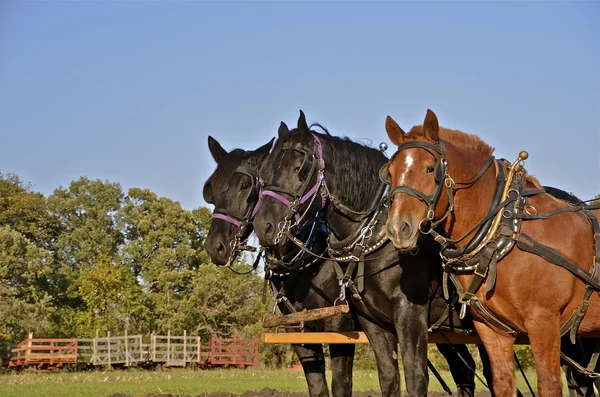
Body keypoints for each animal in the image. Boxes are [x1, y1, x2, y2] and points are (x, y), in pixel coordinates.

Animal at [204, 136, 356, 396]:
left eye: (245, 185)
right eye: (211, 188)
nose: (215, 246)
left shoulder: (341, 329)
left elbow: (341, 386)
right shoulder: (298, 329)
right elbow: (317, 387)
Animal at [253, 110, 492, 396]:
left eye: (300, 169)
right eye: (264, 172)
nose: (263, 226)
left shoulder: (406, 318)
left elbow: (414, 378)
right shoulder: (369, 323)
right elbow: (387, 379)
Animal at [384, 109, 600, 396]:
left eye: (430, 169)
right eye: (390, 173)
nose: (398, 228)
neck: (505, 232)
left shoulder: (544, 323)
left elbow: (549, 384)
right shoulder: (492, 330)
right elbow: (502, 382)